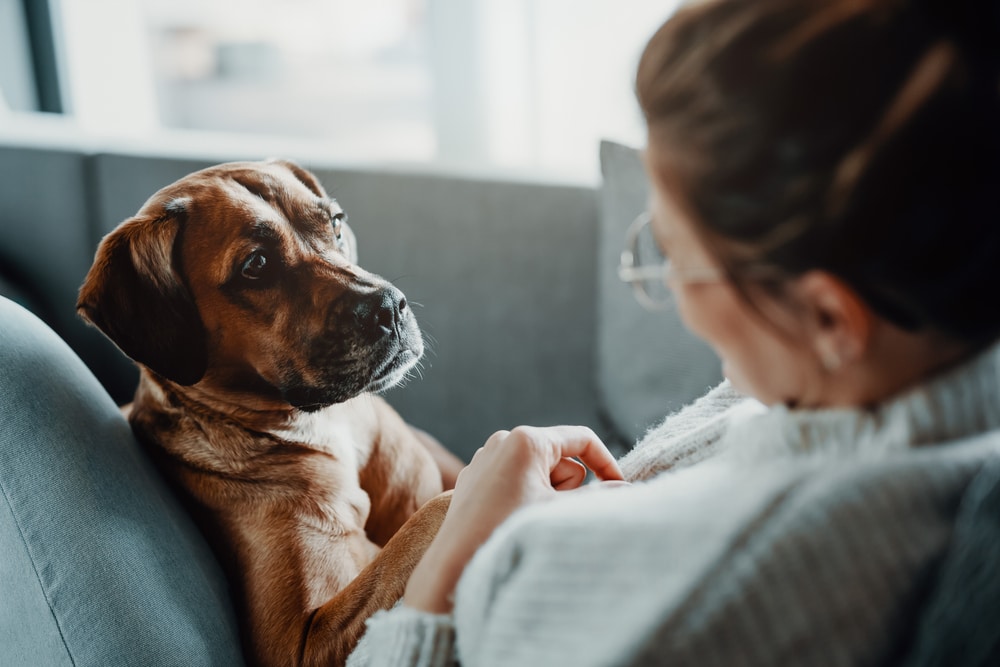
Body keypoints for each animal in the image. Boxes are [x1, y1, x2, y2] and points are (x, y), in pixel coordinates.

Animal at [79, 160, 460, 667]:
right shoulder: (296, 641)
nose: (389, 307)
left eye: (336, 223)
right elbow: (433, 515)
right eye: (256, 266)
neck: (323, 425)